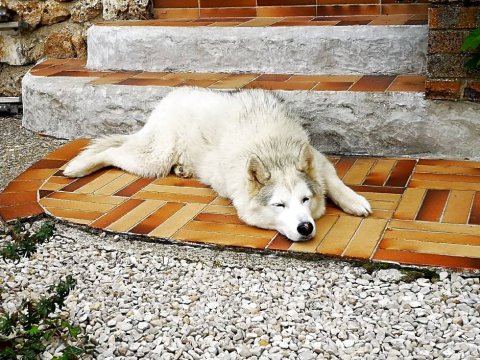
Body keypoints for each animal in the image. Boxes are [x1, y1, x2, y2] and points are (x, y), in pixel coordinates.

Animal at [64, 87, 372, 242]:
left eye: (305, 200)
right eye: (279, 205)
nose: (305, 227)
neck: (273, 148)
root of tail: (170, 95)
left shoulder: (318, 160)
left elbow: (334, 182)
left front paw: (354, 201)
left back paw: (183, 169)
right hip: (152, 160)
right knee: (113, 152)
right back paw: (78, 167)